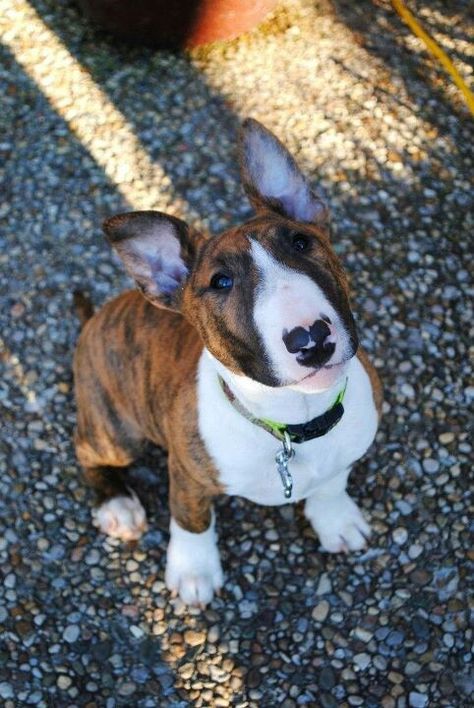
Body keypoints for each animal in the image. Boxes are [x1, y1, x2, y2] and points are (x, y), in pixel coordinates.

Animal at [73, 119, 382, 604]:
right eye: (220, 282)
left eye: (302, 242)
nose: (311, 338)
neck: (292, 423)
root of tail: (94, 320)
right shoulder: (186, 473)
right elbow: (192, 519)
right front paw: (193, 572)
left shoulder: (347, 449)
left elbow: (333, 482)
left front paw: (336, 519)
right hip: (117, 432)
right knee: (85, 449)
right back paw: (117, 505)